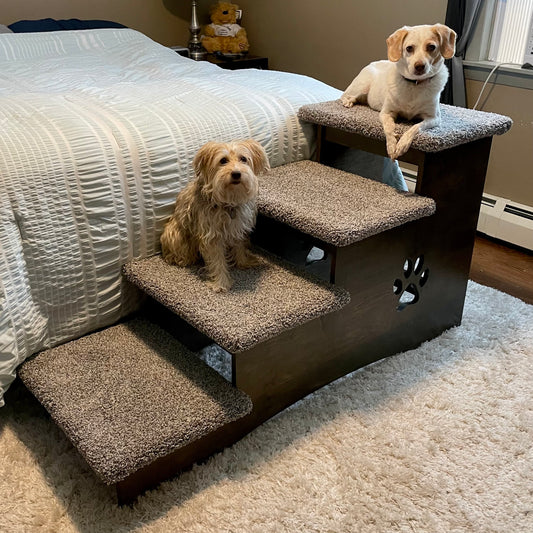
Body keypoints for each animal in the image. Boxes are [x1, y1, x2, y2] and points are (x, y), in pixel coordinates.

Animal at [159, 138, 268, 290]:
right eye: (223, 160)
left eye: (243, 159)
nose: (236, 173)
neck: (228, 203)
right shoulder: (212, 236)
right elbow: (217, 262)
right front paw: (221, 283)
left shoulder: (237, 227)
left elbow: (239, 246)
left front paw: (243, 262)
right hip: (174, 233)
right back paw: (182, 259)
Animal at [340, 23, 454, 160]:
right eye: (409, 48)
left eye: (431, 47)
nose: (419, 66)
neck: (414, 84)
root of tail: (372, 62)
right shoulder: (386, 113)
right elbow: (389, 128)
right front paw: (391, 145)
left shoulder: (433, 118)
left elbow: (415, 127)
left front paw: (402, 144)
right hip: (362, 86)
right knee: (344, 95)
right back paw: (349, 101)